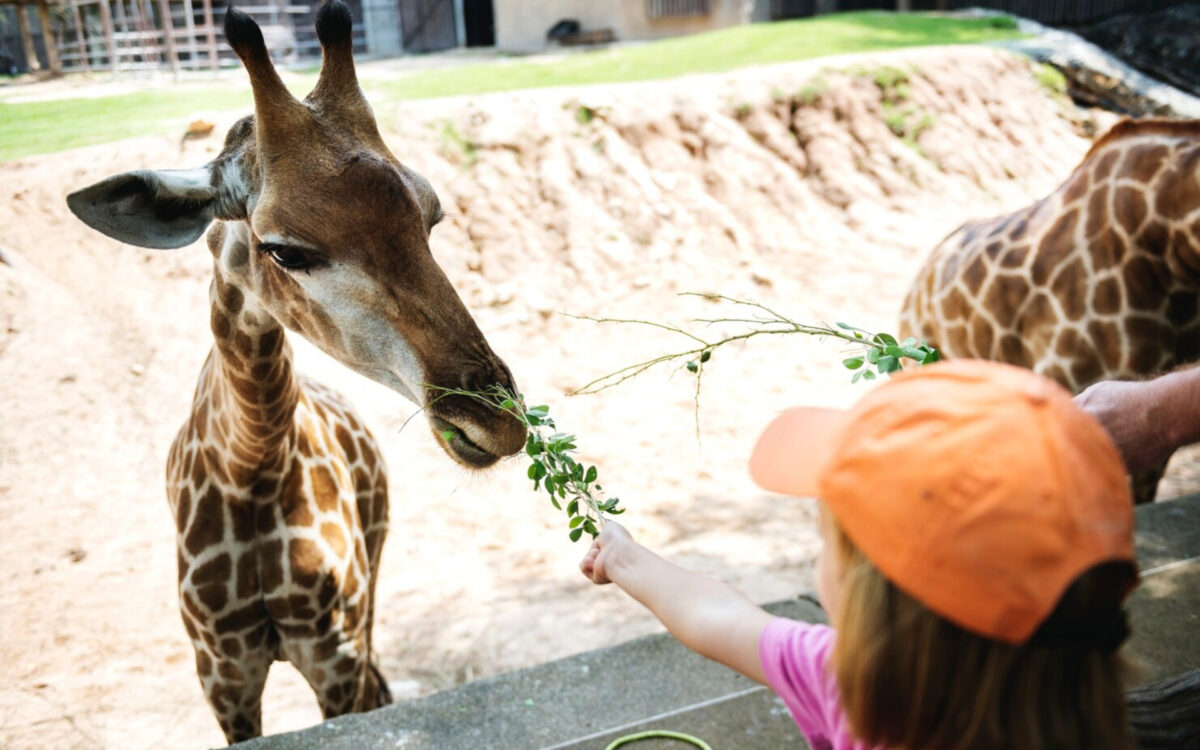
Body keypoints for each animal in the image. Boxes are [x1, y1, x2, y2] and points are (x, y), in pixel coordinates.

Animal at [59, 1, 520, 744]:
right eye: (283, 249)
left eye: (431, 217)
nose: (497, 422)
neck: (252, 464)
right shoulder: (222, 672)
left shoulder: (333, 652)